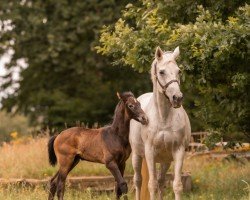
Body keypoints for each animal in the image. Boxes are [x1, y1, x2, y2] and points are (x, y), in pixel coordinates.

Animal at [130, 46, 190, 200]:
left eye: (179, 71)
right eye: (161, 72)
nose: (177, 98)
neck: (163, 118)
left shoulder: (178, 151)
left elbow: (177, 185)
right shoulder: (150, 152)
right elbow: (152, 185)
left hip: (165, 160)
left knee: (162, 181)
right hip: (137, 156)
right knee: (138, 181)